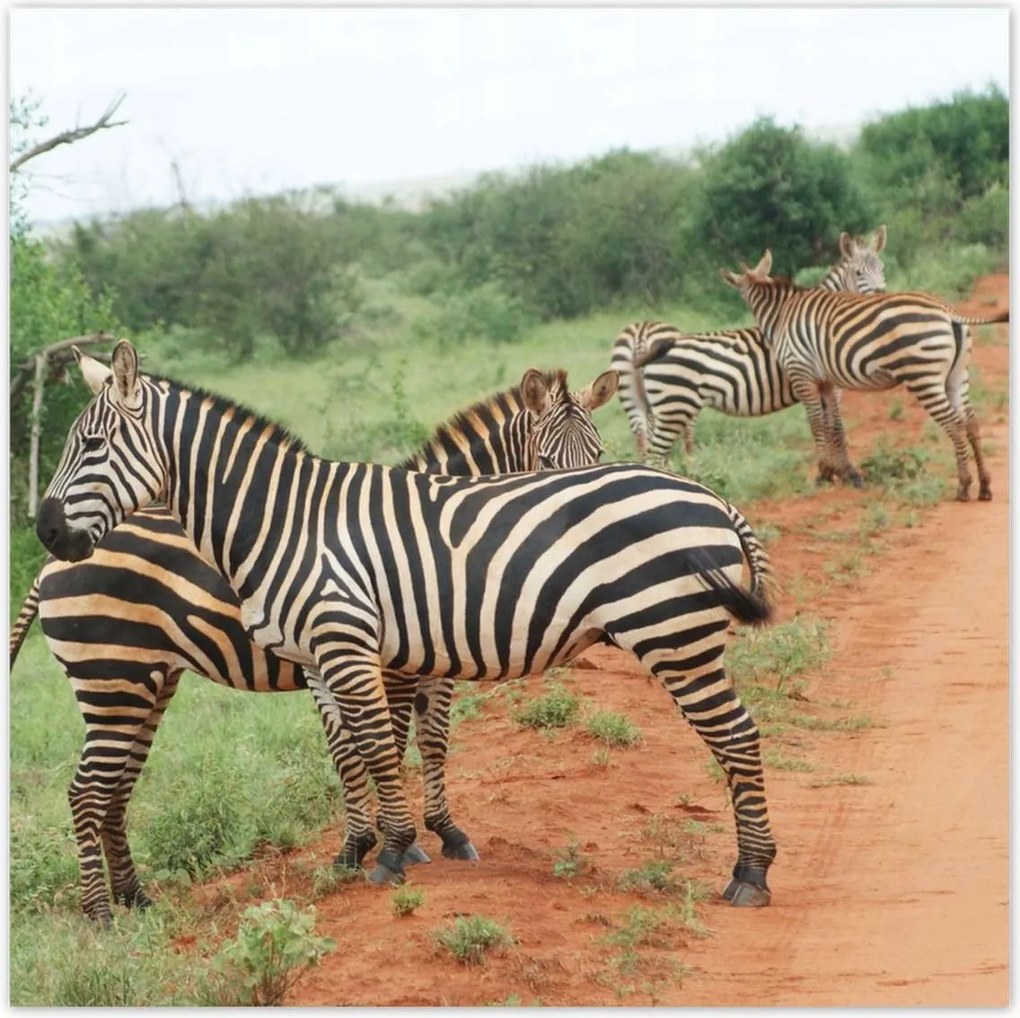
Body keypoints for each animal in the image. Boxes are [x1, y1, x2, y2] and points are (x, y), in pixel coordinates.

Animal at [37, 339, 780, 908]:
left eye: (92, 444)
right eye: (545, 460)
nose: (43, 528)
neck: (283, 521)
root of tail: (714, 499)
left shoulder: (360, 650)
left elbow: (387, 746)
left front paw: (395, 851)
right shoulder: (358, 655)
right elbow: (376, 749)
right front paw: (390, 847)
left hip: (674, 636)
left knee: (738, 736)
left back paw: (751, 874)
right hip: (127, 679)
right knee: (99, 790)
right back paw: (122, 906)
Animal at [611, 226, 888, 467]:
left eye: (882, 268)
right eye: (858, 273)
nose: (882, 296)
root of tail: (642, 334)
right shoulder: (827, 382)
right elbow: (832, 426)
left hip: (637, 401)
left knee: (644, 444)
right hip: (674, 405)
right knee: (660, 452)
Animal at [721, 249, 1008, 500]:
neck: (782, 313)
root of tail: (948, 312)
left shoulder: (801, 374)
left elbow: (816, 423)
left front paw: (822, 474)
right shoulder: (825, 381)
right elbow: (832, 424)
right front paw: (836, 473)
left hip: (923, 376)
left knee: (954, 423)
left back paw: (963, 486)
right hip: (957, 376)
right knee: (971, 422)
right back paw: (984, 487)